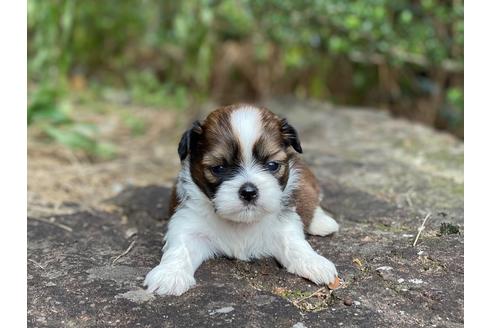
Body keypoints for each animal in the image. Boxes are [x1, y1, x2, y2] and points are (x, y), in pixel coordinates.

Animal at [144, 104, 340, 296]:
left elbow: (295, 244)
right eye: (219, 168)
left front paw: (314, 262)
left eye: (272, 165)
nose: (249, 192)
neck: (240, 223)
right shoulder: (187, 222)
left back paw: (322, 222)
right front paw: (170, 274)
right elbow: (180, 249)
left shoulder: (283, 224)